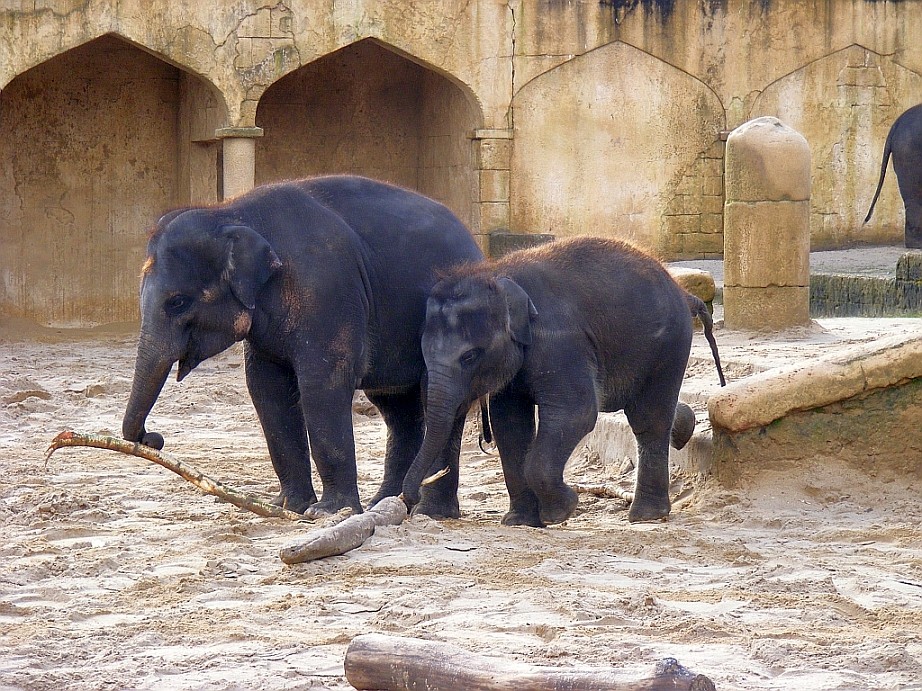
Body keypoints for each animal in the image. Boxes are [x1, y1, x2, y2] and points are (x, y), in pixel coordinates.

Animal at [398, 235, 724, 528]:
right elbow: (511, 426)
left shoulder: (559, 341)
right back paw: (683, 429)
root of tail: (682, 290)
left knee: (647, 419)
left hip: (668, 346)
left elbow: (576, 412)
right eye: (423, 353)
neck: (497, 274)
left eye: (469, 356)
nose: (407, 502)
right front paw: (520, 522)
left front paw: (561, 511)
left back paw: (646, 516)